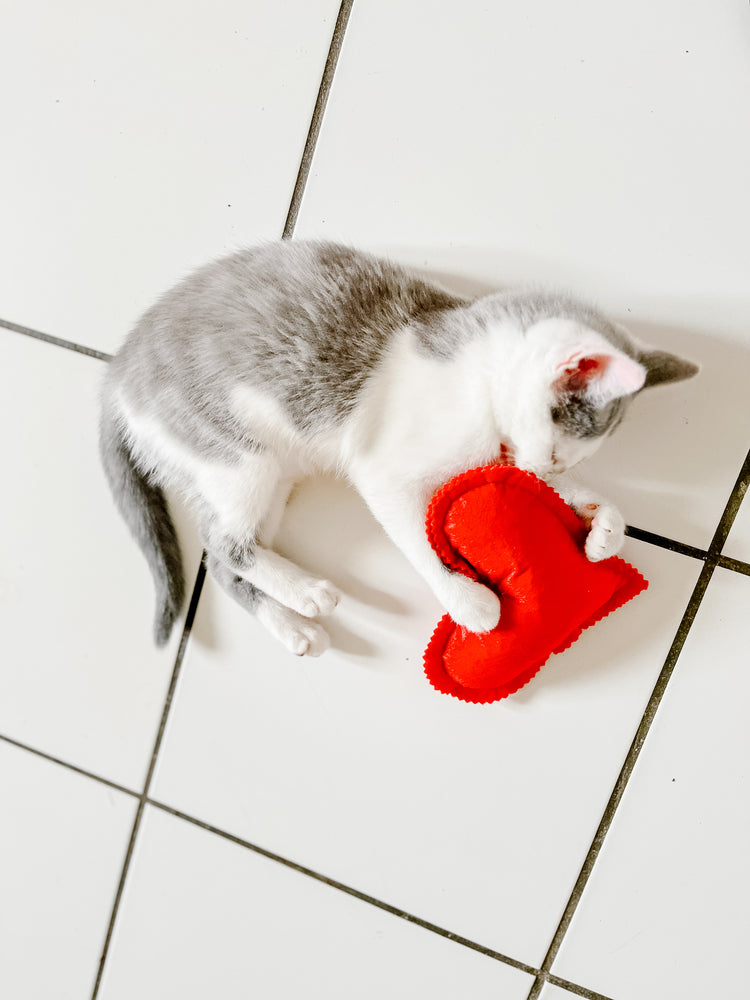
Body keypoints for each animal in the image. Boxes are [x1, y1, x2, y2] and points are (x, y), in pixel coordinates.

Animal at [98, 238, 700, 652]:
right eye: (555, 450)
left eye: (569, 458)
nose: (546, 470)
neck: (473, 371)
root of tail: (118, 370)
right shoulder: (383, 471)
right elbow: (417, 538)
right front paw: (468, 603)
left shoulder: (497, 456)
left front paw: (603, 526)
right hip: (238, 458)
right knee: (224, 543)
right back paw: (307, 594)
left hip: (270, 479)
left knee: (224, 559)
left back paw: (294, 626)